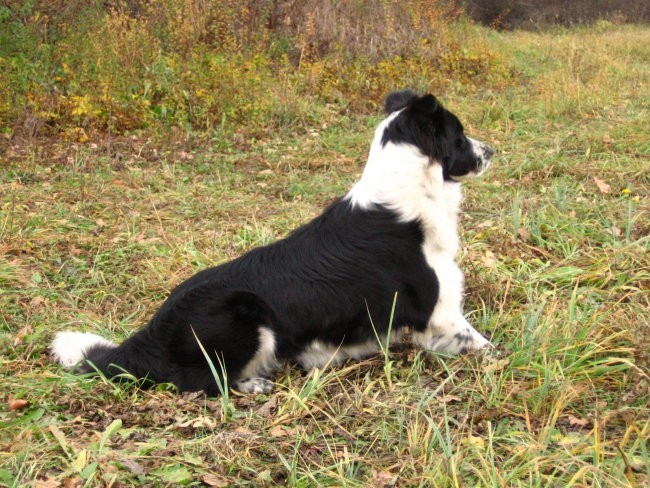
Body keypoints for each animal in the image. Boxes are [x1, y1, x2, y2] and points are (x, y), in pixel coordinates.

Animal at [52, 90, 492, 396]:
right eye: (459, 135)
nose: (491, 150)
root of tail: (151, 333)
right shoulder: (440, 313)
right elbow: (487, 346)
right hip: (247, 316)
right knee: (201, 382)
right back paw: (253, 385)